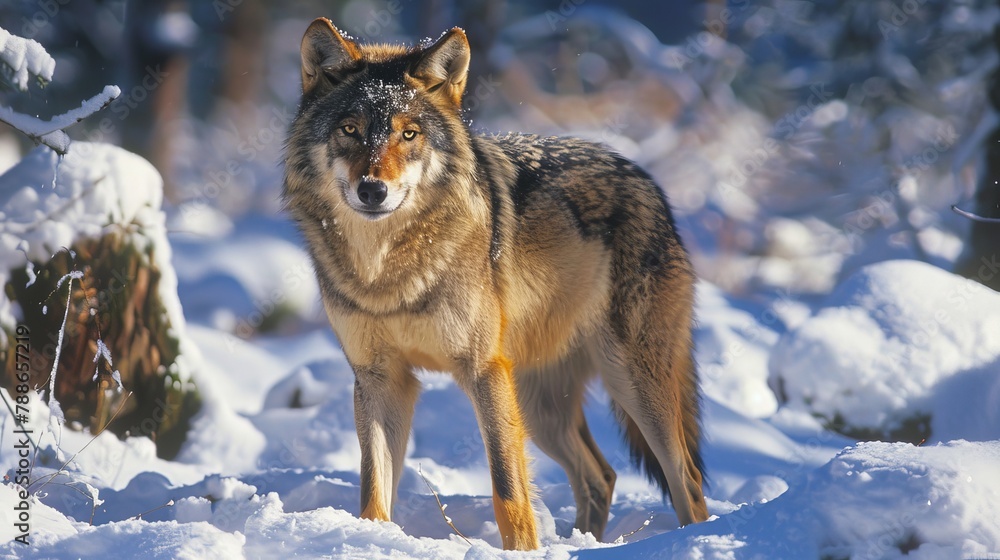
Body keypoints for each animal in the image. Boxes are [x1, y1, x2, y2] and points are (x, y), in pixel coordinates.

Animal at [282, 18, 709, 550]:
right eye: (350, 130)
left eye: (409, 133)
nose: (373, 190)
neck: (387, 273)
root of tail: (646, 180)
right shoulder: (380, 379)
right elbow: (373, 492)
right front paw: (371, 541)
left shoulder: (483, 370)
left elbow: (508, 490)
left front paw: (522, 551)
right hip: (540, 406)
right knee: (602, 475)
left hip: (629, 383)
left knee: (687, 481)